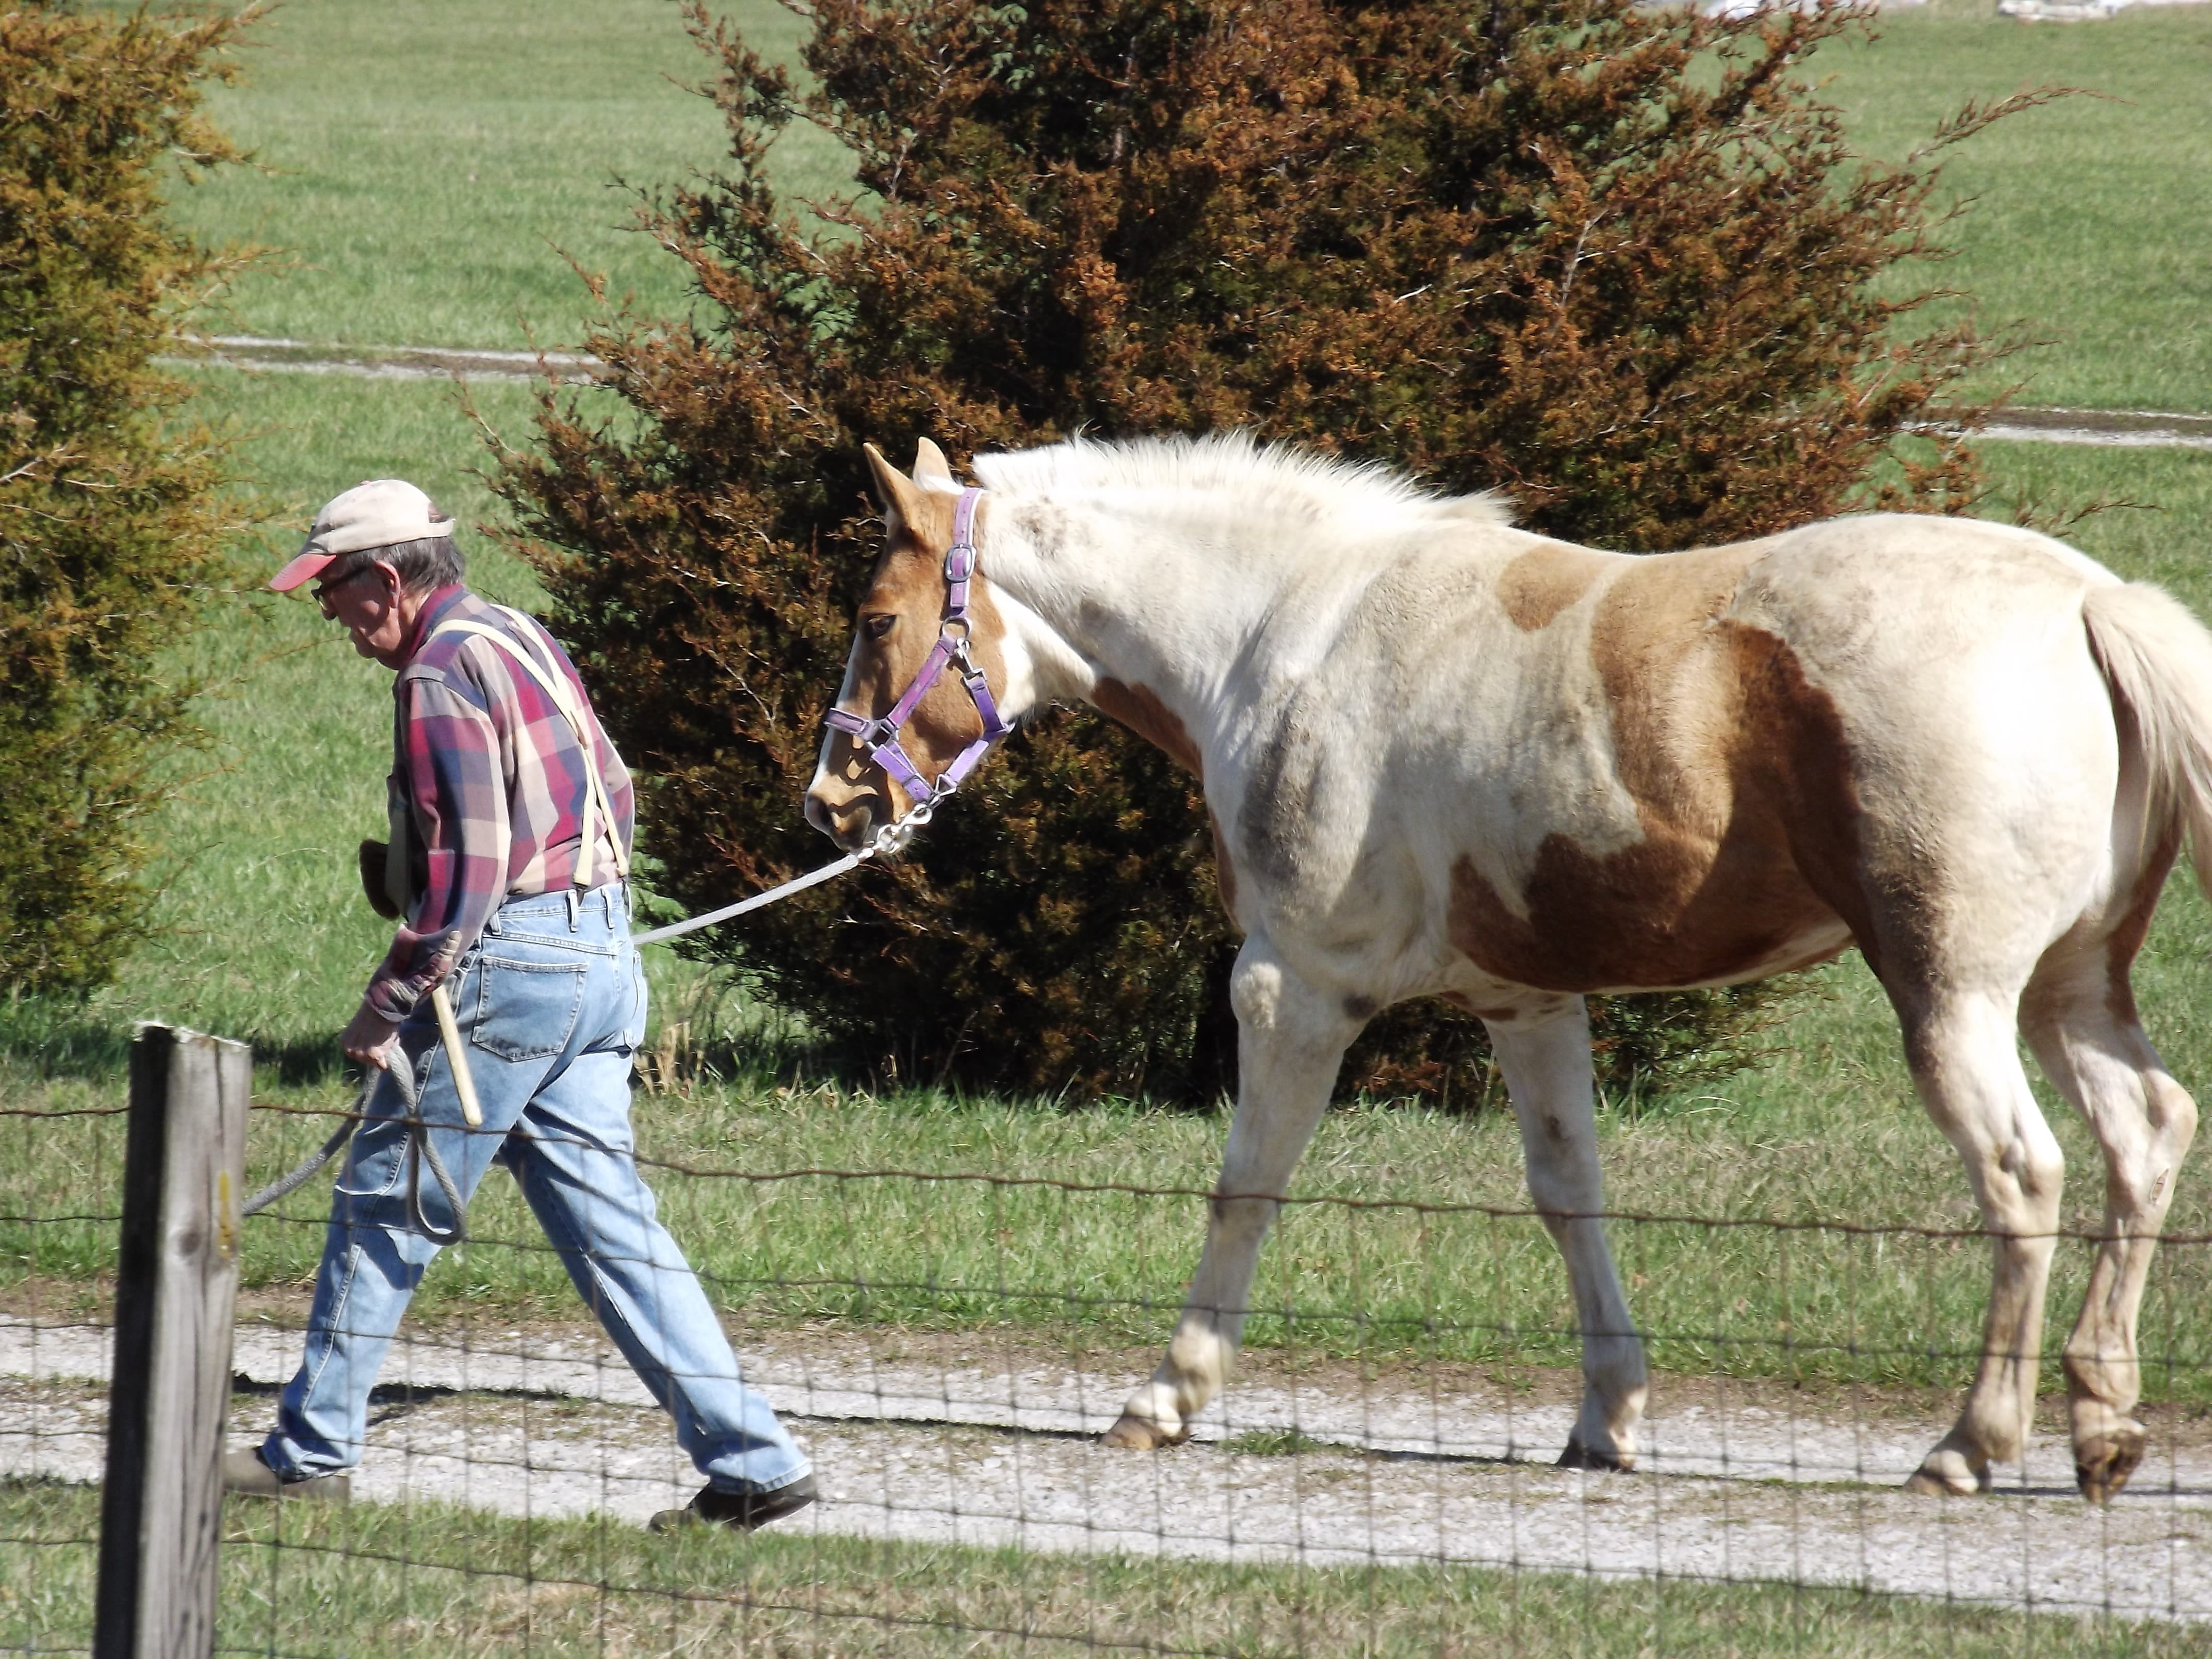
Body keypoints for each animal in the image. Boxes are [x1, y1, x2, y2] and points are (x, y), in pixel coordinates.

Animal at [805, 431, 2211, 1503]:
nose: (832, 799)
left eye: (877, 617)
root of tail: (2087, 605)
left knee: (2023, 1174)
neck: (1281, 634)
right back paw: (2100, 1427)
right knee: (2144, 1132)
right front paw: (1606, 1418)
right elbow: (1566, 1192)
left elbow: (1245, 1187)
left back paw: (1968, 1445)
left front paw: (1166, 1394)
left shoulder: (1292, 989)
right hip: (2071, 986)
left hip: (1951, 994)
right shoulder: (1526, 1000)